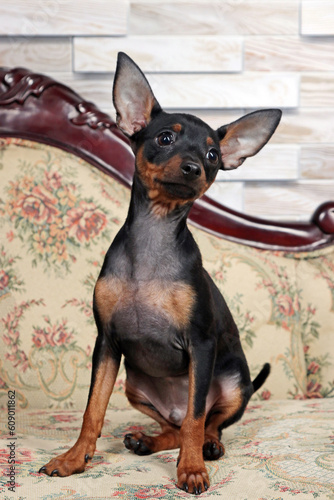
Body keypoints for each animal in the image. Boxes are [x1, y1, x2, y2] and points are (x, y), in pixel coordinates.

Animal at [39, 52, 282, 494]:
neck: (155, 233)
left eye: (213, 156)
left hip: (235, 382)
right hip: (135, 385)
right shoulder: (106, 343)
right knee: (175, 425)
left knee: (203, 423)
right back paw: (146, 440)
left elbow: (197, 419)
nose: (193, 168)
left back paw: (206, 448)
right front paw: (74, 459)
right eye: (165, 138)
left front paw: (191, 470)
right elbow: (92, 410)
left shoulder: (201, 343)